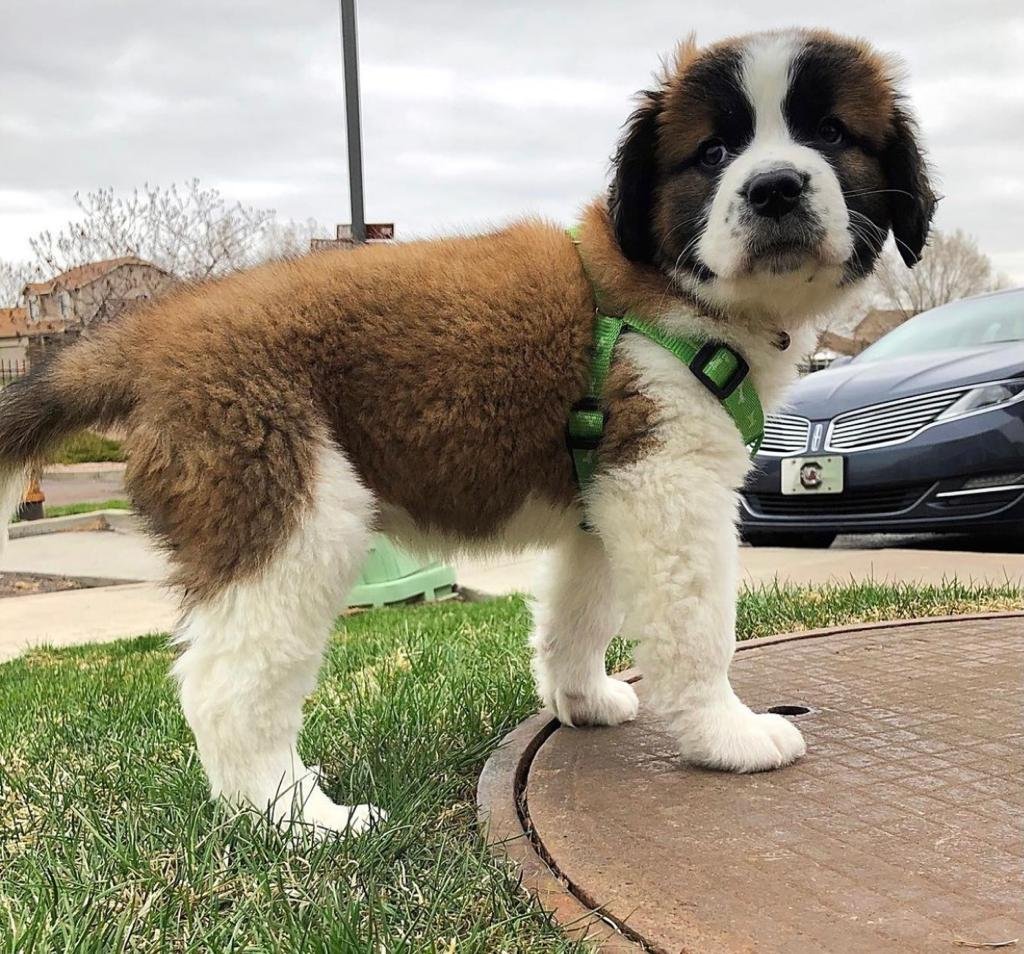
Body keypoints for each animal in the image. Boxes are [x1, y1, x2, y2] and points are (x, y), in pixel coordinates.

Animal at [0, 27, 933, 835]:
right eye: (712, 154)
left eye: (832, 134)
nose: (774, 185)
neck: (674, 289)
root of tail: (152, 333)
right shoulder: (667, 482)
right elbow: (698, 625)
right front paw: (726, 735)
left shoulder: (606, 488)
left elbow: (578, 608)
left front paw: (580, 699)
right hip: (289, 508)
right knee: (226, 685)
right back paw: (298, 820)